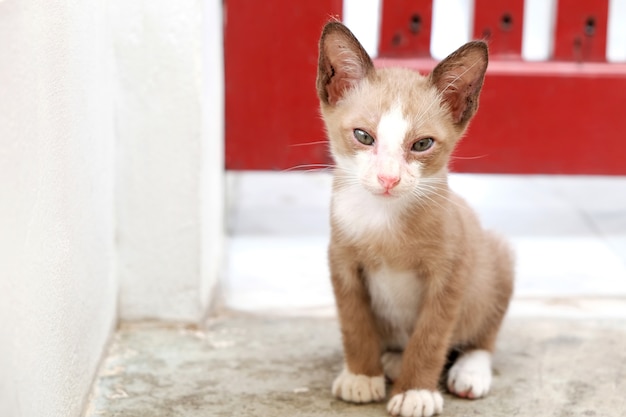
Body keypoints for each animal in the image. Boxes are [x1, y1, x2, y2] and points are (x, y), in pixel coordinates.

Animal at [314, 22, 516, 416]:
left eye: (422, 145)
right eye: (363, 136)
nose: (388, 179)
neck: (384, 222)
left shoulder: (450, 273)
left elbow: (431, 336)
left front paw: (415, 392)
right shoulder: (342, 263)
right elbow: (354, 323)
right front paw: (362, 376)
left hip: (499, 255)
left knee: (481, 337)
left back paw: (470, 372)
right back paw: (391, 359)